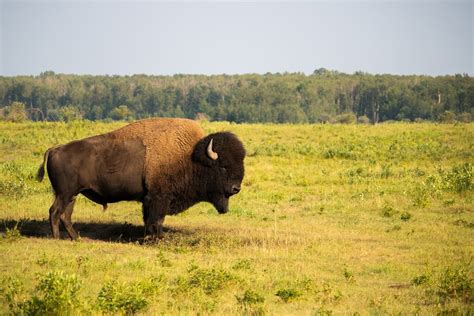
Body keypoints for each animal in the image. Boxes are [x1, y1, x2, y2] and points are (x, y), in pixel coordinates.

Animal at [36, 118, 248, 239]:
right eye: (223, 167)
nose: (236, 188)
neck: (190, 156)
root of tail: (55, 149)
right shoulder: (158, 198)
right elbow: (156, 219)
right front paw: (157, 238)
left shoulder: (149, 199)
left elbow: (149, 219)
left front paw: (149, 237)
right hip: (64, 193)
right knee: (55, 212)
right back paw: (57, 238)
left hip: (73, 194)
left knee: (65, 215)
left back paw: (76, 238)